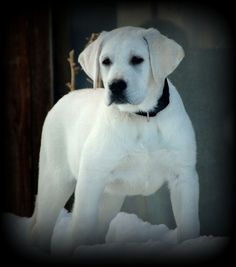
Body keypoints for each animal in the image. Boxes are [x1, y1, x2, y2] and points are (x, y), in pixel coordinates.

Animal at [29, 26, 199, 254]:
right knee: (42, 228)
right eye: (106, 61)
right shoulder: (91, 177)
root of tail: (62, 100)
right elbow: (83, 224)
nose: (115, 86)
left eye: (137, 60)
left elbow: (189, 223)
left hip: (110, 195)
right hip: (55, 180)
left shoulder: (184, 176)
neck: (142, 116)